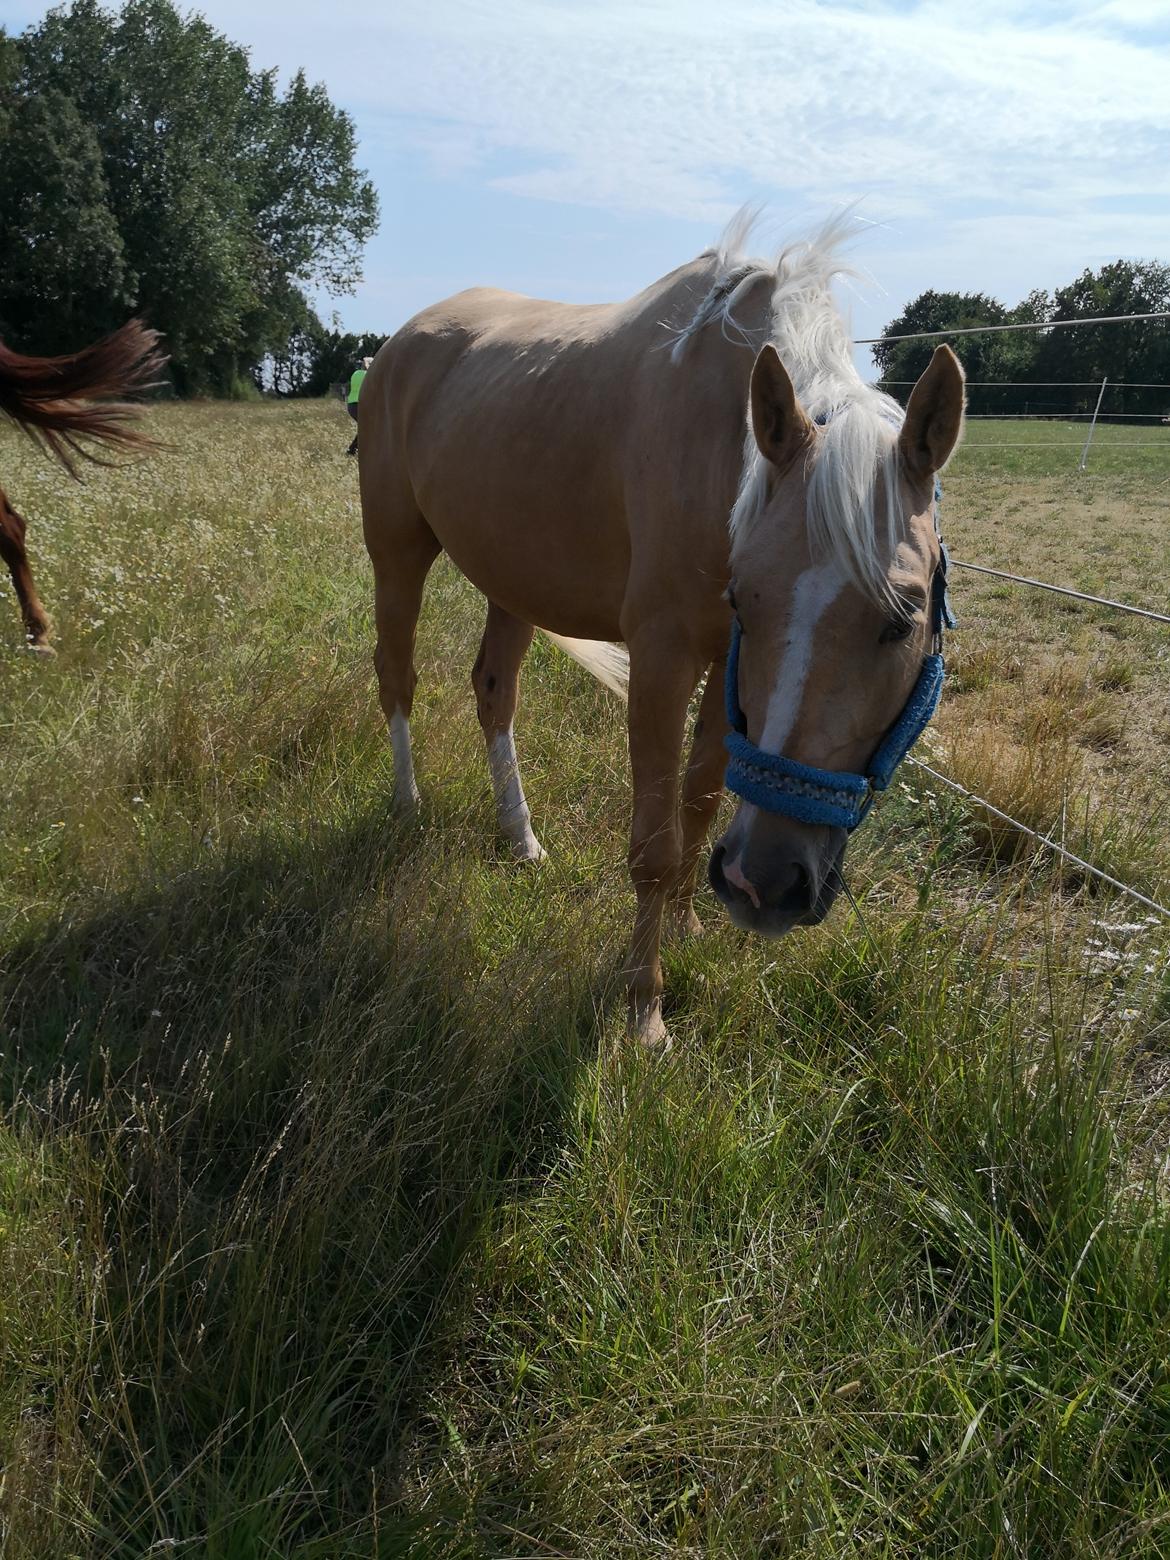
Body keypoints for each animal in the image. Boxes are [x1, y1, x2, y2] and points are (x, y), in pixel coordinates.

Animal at [361, 213, 967, 1042]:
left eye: (902, 621)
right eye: (747, 598)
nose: (765, 883)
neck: (721, 450)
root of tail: (398, 343)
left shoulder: (724, 665)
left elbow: (701, 800)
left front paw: (686, 926)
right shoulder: (662, 659)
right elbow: (654, 840)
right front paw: (644, 1008)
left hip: (510, 575)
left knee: (494, 692)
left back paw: (520, 838)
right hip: (397, 552)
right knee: (398, 675)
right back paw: (406, 803)